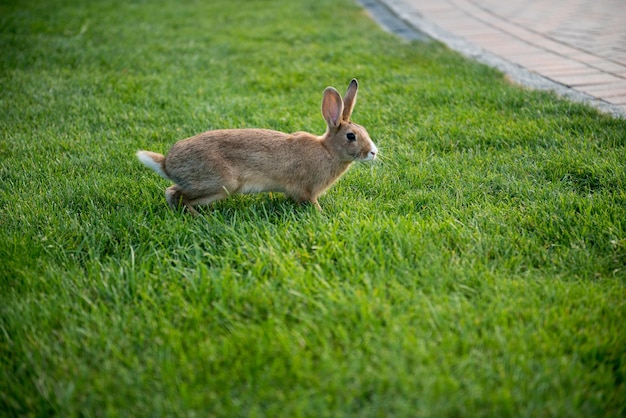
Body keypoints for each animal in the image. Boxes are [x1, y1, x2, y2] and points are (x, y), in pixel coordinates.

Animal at [136, 78, 376, 216]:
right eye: (351, 136)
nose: (373, 152)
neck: (328, 151)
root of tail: (167, 164)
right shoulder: (307, 190)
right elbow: (311, 202)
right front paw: (321, 214)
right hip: (220, 184)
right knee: (173, 193)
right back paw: (197, 217)